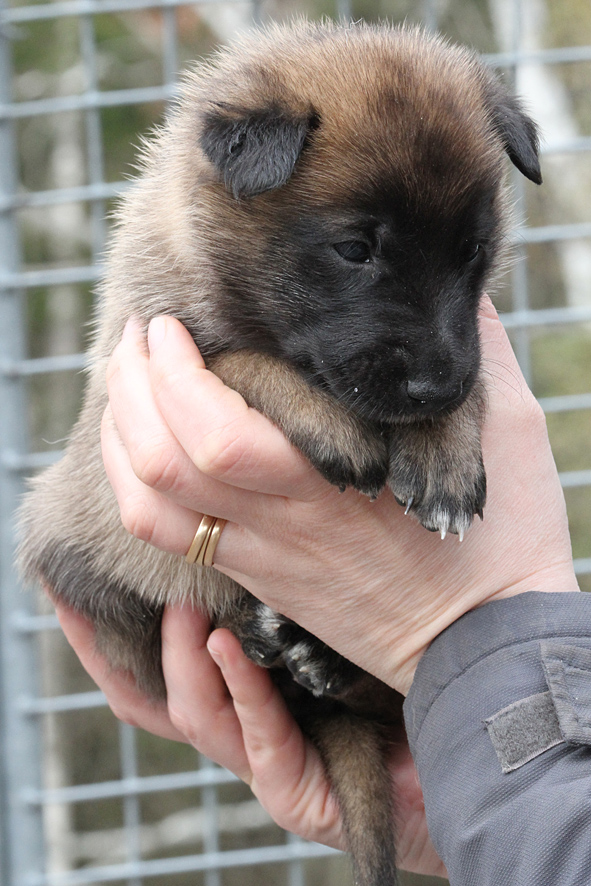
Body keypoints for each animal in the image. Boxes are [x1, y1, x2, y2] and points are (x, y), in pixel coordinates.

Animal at [18, 22, 540, 886]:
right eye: (354, 248)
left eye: (472, 252)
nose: (433, 384)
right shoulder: (151, 343)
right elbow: (237, 363)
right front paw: (336, 429)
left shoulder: (470, 337)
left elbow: (477, 376)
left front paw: (444, 453)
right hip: (74, 560)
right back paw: (276, 641)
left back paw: (316, 656)